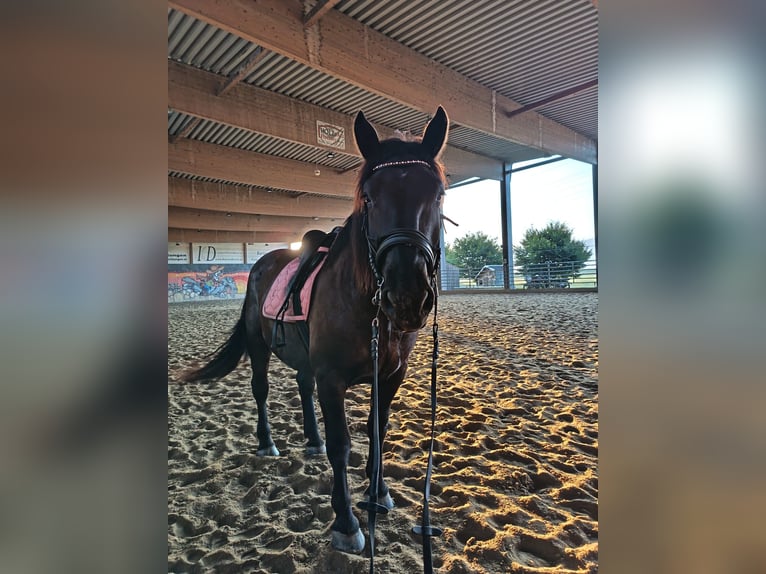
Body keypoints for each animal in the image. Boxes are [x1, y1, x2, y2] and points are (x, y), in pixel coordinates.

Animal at [183, 107, 449, 556]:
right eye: (369, 198)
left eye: (438, 195)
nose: (407, 296)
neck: (367, 307)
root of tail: (262, 262)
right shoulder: (332, 378)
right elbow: (342, 445)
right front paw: (347, 523)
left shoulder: (390, 376)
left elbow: (377, 431)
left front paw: (379, 494)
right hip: (260, 347)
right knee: (261, 390)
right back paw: (267, 442)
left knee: (301, 386)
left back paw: (311, 440)